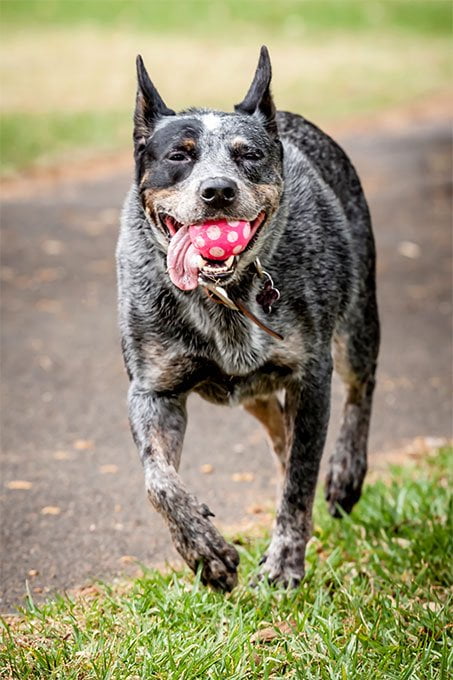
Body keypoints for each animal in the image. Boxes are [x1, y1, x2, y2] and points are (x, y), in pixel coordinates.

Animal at [115, 46, 378, 588]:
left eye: (248, 155)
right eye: (179, 155)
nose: (217, 190)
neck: (224, 297)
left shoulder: (311, 375)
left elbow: (300, 480)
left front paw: (283, 564)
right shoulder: (153, 390)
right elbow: (158, 480)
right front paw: (204, 551)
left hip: (358, 323)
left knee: (360, 389)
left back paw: (345, 472)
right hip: (253, 393)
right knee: (279, 431)